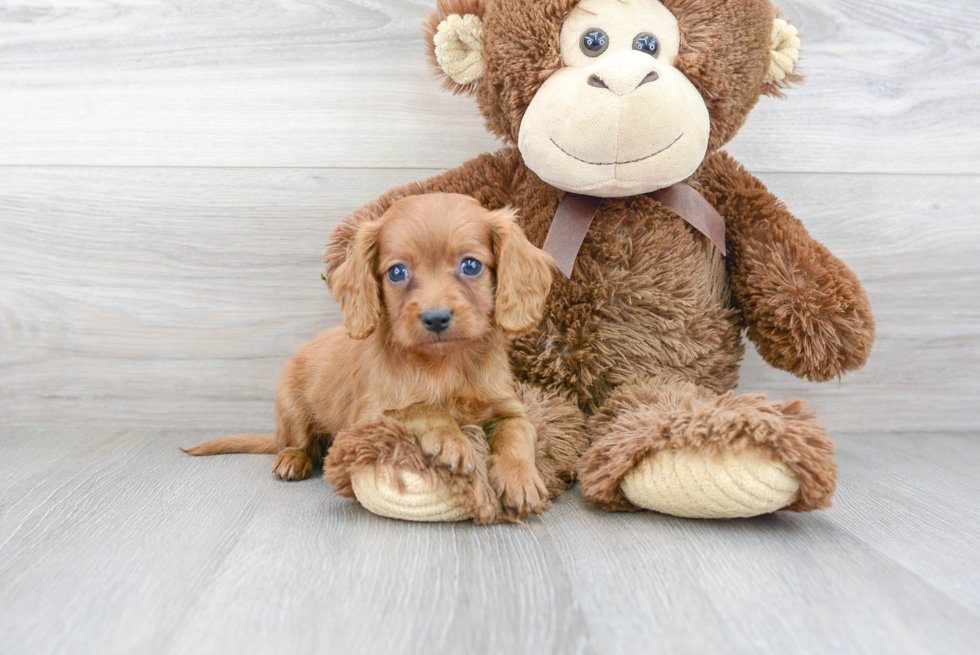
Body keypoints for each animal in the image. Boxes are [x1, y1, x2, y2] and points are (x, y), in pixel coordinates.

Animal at [181, 193, 556, 516]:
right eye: (397, 272)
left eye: (471, 266)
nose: (435, 318)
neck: (444, 363)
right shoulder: (369, 418)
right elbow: (424, 408)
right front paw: (452, 439)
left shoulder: (508, 409)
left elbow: (517, 434)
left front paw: (521, 478)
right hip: (291, 404)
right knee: (302, 442)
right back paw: (293, 459)